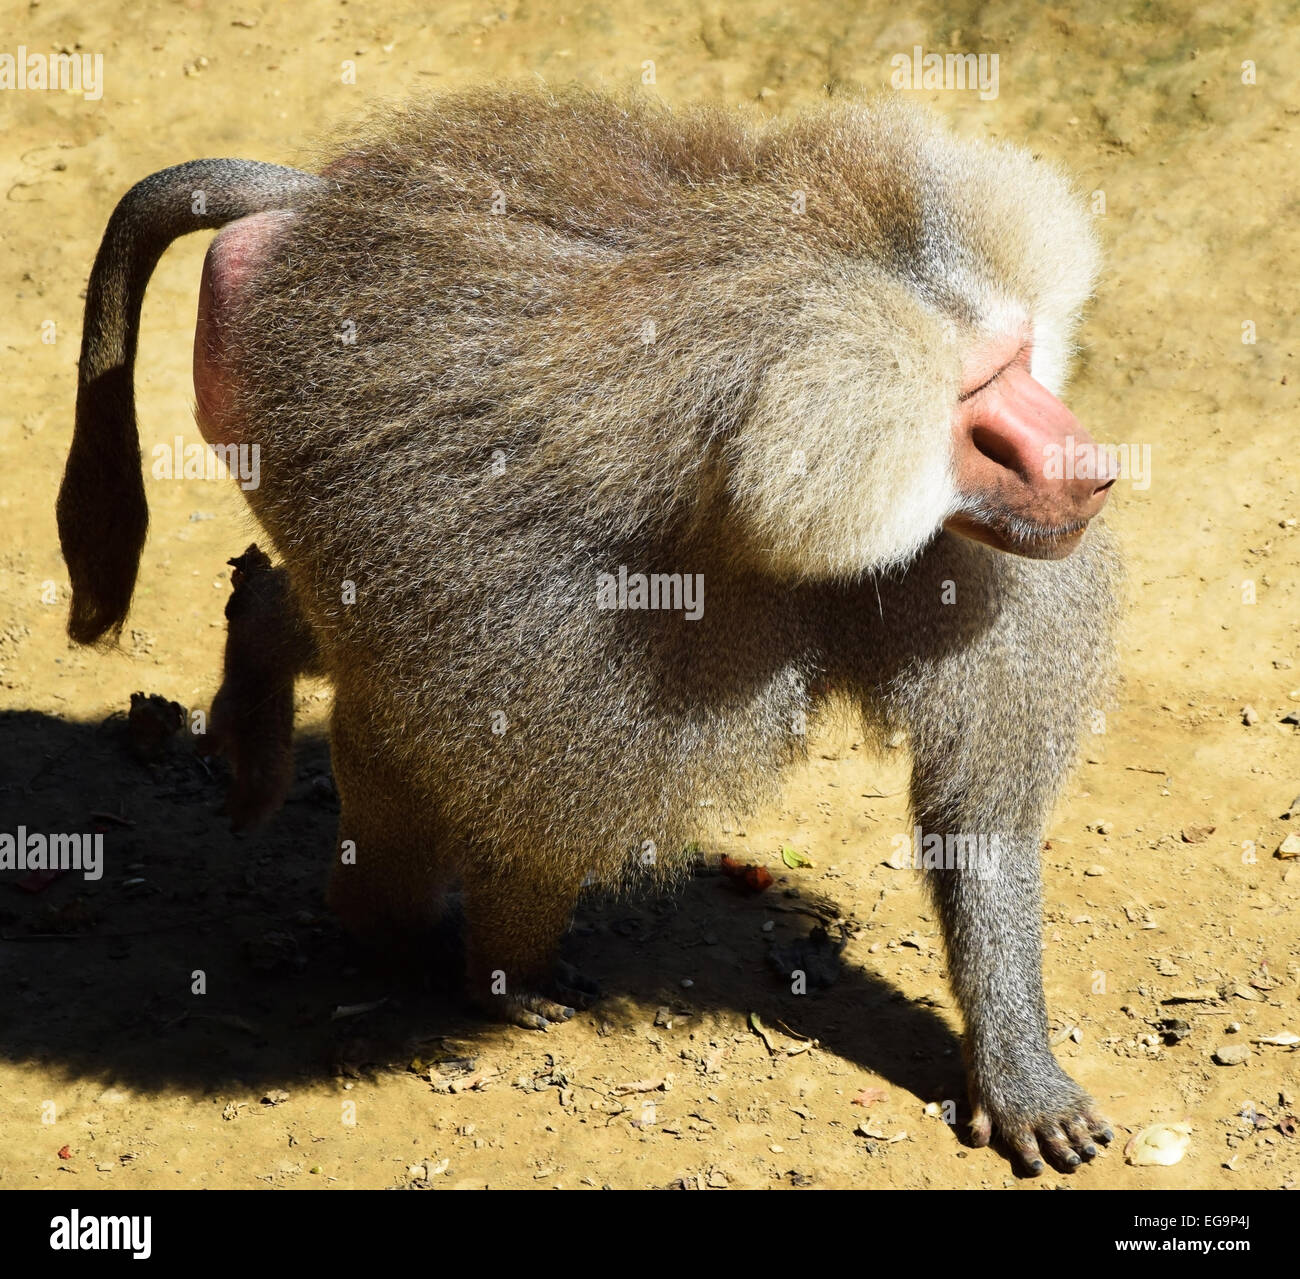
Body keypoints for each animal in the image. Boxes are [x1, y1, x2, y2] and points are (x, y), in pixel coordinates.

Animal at [58, 87, 1121, 1174]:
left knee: (353, 652)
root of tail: (310, 208)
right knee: (382, 699)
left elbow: (978, 815)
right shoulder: (597, 617)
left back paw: (261, 660)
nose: (1091, 471)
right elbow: (522, 802)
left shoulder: (969, 563)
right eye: (978, 398)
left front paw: (1019, 1080)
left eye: (1018, 361)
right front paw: (498, 974)